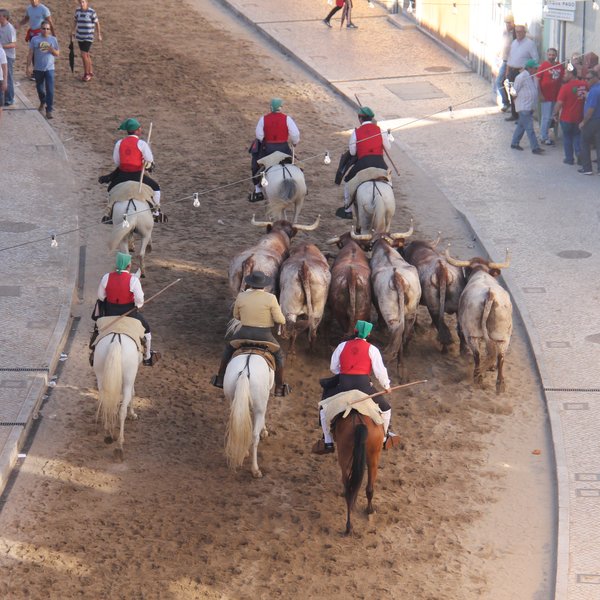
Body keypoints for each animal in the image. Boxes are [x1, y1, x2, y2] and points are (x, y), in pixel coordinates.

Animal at [93, 330, 141, 462]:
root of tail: (116, 340)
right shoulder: (131, 378)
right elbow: (133, 393)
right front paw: (132, 414)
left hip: (101, 375)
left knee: (105, 402)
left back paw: (108, 434)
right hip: (128, 378)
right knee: (122, 410)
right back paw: (119, 446)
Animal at [332, 408, 384, 536]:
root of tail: (359, 422)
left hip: (345, 460)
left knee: (349, 491)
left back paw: (349, 526)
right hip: (373, 459)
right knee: (368, 489)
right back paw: (368, 511)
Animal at [446, 248, 510, 394]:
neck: (481, 271)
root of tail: (490, 294)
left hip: (472, 334)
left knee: (477, 354)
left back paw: (477, 378)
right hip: (503, 336)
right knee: (501, 356)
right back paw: (500, 384)